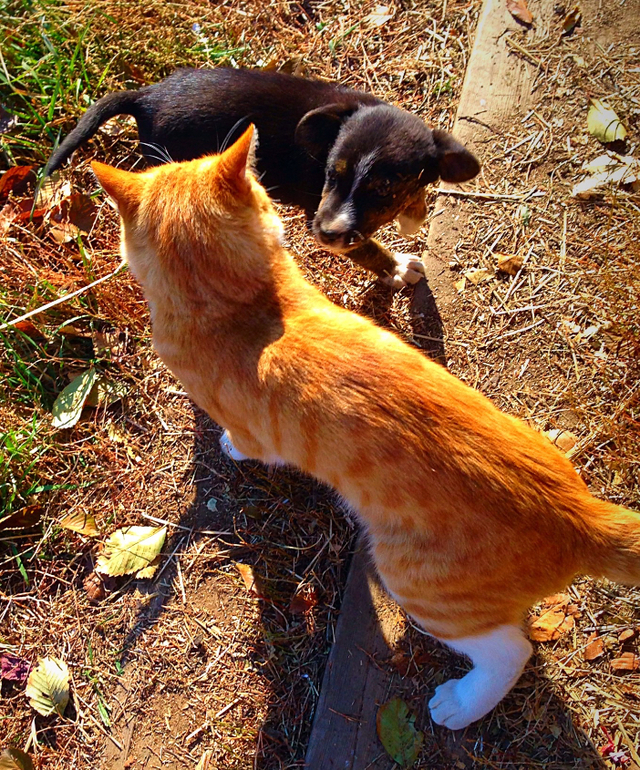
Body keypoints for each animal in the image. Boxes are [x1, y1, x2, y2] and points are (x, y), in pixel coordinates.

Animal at [46, 67, 480, 286]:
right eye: (331, 172)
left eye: (384, 190)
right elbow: (366, 248)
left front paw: (414, 214)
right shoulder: (320, 211)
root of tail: (147, 97)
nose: (325, 233)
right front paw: (399, 267)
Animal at [91, 126, 640, 730]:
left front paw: (229, 447)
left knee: (510, 652)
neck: (239, 304)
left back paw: (460, 704)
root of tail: (581, 515)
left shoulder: (249, 428)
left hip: (420, 586)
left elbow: (244, 442)